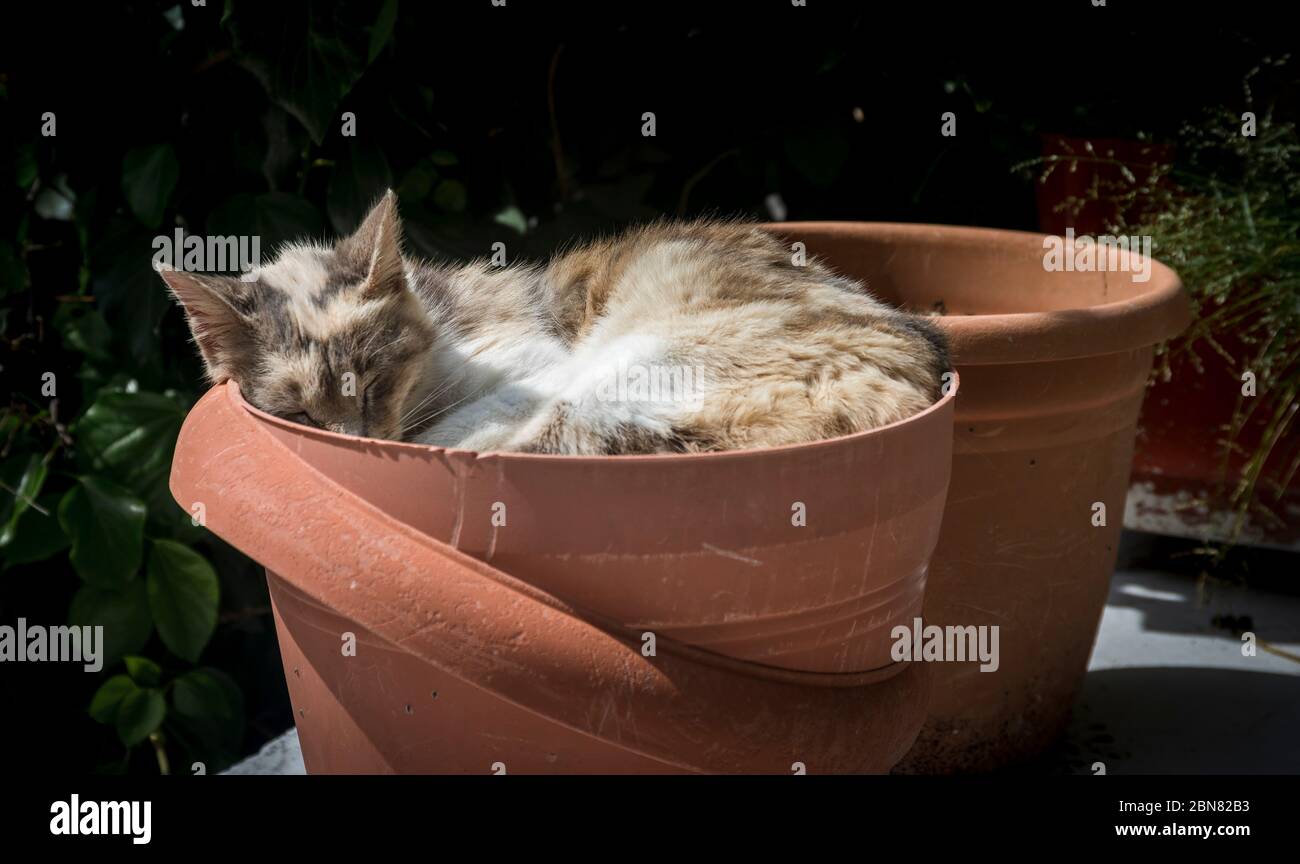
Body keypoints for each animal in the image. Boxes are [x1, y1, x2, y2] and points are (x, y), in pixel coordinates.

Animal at [165, 192, 956, 454]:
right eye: (298, 413)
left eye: (378, 382)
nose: (359, 443)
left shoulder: (535, 367)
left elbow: (457, 431)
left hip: (629, 364)